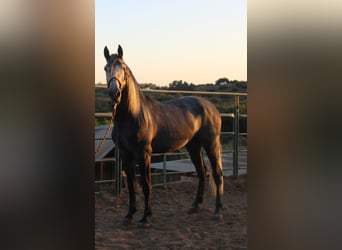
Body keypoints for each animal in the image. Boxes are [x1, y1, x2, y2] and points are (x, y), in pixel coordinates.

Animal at [103, 45, 223, 227]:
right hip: (193, 146)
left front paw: (146, 218)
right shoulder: (125, 154)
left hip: (211, 144)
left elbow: (146, 184)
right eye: (105, 68)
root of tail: (211, 107)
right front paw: (129, 215)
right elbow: (131, 185)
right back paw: (195, 206)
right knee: (202, 172)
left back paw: (218, 211)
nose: (114, 93)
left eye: (122, 67)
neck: (132, 115)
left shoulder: (144, 154)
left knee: (217, 174)